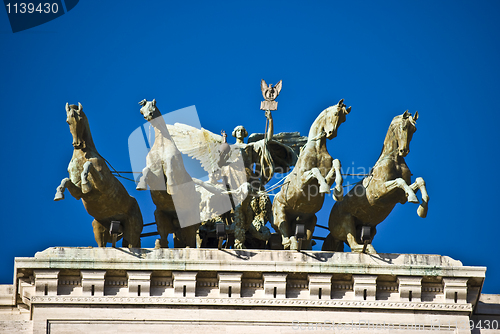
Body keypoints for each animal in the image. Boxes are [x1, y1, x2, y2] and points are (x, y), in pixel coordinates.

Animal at [55, 103, 145, 247]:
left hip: (133, 228)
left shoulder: (102, 184)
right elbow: (66, 181)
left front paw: (86, 184)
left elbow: (89, 166)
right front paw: (59, 193)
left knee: (132, 244)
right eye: (68, 121)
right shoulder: (77, 192)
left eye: (80, 119)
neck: (82, 155)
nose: (77, 143)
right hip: (99, 226)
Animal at [272, 100, 350, 249]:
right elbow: (315, 171)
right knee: (284, 232)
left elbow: (336, 163)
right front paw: (326, 188)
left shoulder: (328, 175)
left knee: (305, 239)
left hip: (309, 219)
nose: (331, 133)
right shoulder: (301, 183)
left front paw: (338, 191)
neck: (317, 149)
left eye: (344, 119)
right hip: (280, 212)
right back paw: (289, 241)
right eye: (336, 113)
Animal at [326, 110, 428, 253]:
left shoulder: (400, 198)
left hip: (370, 229)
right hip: (347, 221)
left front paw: (422, 209)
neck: (395, 161)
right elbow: (400, 181)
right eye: (403, 127)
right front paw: (413, 197)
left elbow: (419, 180)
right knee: (354, 245)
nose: (404, 151)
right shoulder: (379, 192)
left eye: (414, 129)